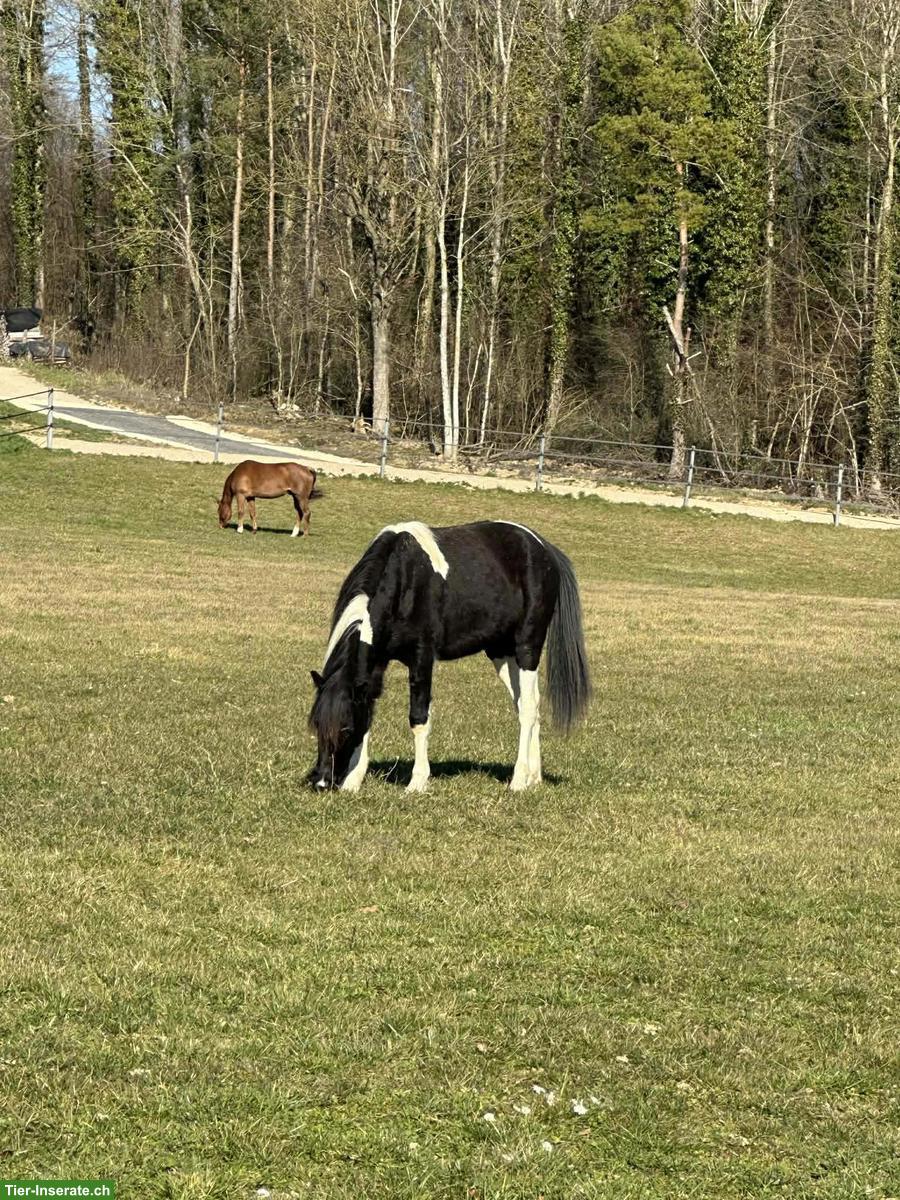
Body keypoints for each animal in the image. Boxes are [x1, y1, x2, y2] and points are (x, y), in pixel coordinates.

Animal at [308, 520, 591, 793]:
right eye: (316, 724)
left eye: (345, 729)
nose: (321, 782)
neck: (404, 578)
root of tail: (544, 548)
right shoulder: (374, 666)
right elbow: (367, 713)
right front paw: (353, 780)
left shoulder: (421, 658)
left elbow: (419, 718)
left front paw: (418, 782)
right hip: (501, 652)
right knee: (526, 704)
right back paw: (534, 777)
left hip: (527, 649)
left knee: (529, 708)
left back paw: (519, 780)